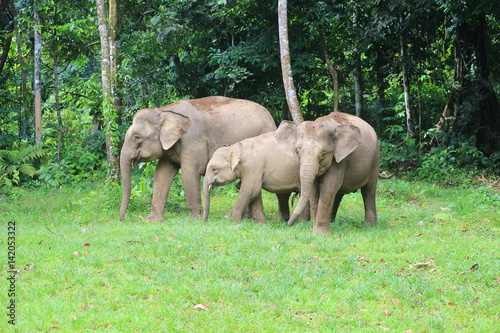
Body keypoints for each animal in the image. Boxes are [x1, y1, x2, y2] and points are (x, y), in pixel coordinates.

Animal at [121, 96, 278, 220]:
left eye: (136, 137)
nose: (122, 218)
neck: (163, 111)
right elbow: (162, 174)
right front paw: (152, 220)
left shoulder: (193, 139)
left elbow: (189, 172)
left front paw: (193, 219)